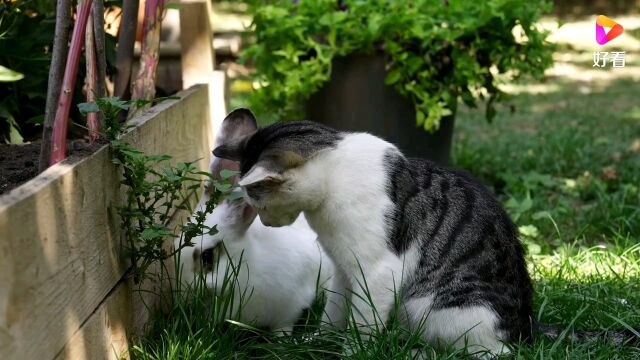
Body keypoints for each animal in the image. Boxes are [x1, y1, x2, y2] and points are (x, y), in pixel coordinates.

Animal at [212, 107, 532, 354]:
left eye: (258, 202)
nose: (266, 223)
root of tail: (526, 328)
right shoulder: (342, 268)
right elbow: (334, 311)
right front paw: (318, 341)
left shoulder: (379, 272)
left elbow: (363, 322)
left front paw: (353, 352)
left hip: (426, 306)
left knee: (491, 352)